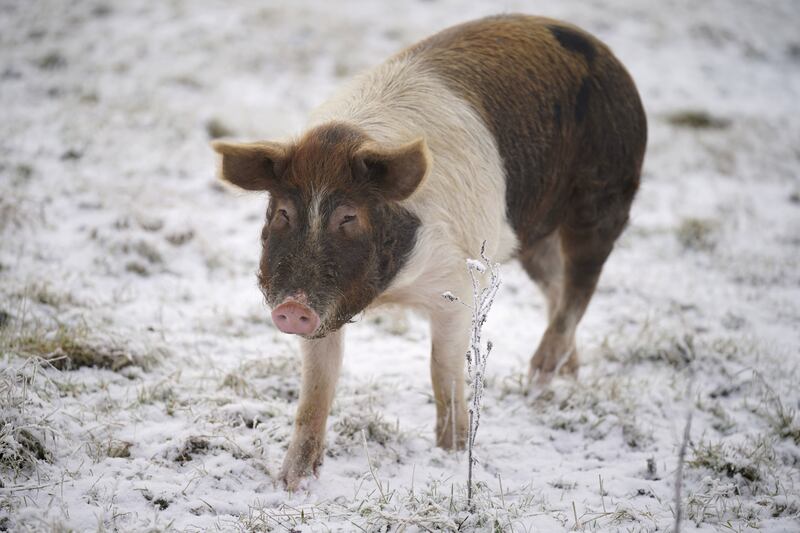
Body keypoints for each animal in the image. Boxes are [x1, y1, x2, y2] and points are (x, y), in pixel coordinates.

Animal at [211, 14, 644, 488]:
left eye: (348, 216)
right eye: (284, 212)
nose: (292, 308)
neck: (393, 289)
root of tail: (595, 46)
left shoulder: (456, 286)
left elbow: (443, 371)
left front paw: (451, 453)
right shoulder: (328, 308)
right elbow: (316, 387)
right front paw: (291, 482)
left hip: (606, 193)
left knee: (582, 282)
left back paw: (539, 377)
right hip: (534, 233)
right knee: (556, 284)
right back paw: (563, 375)